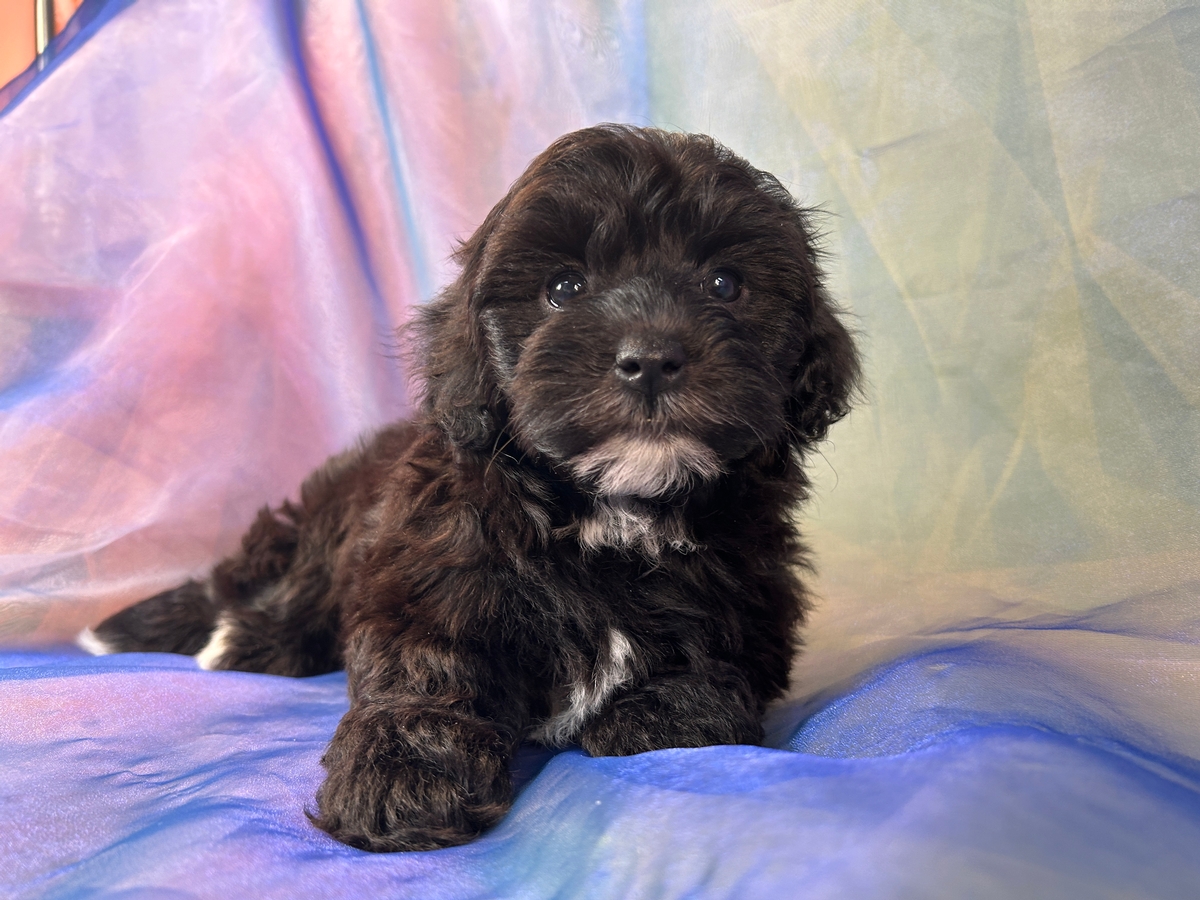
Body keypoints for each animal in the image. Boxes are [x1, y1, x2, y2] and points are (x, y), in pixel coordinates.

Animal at [79, 125, 859, 854]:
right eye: (564, 289)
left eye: (724, 285)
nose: (651, 358)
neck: (612, 513)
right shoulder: (428, 570)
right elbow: (426, 666)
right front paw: (401, 774)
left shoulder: (752, 591)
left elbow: (719, 660)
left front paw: (666, 712)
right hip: (323, 536)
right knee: (285, 594)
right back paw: (242, 642)